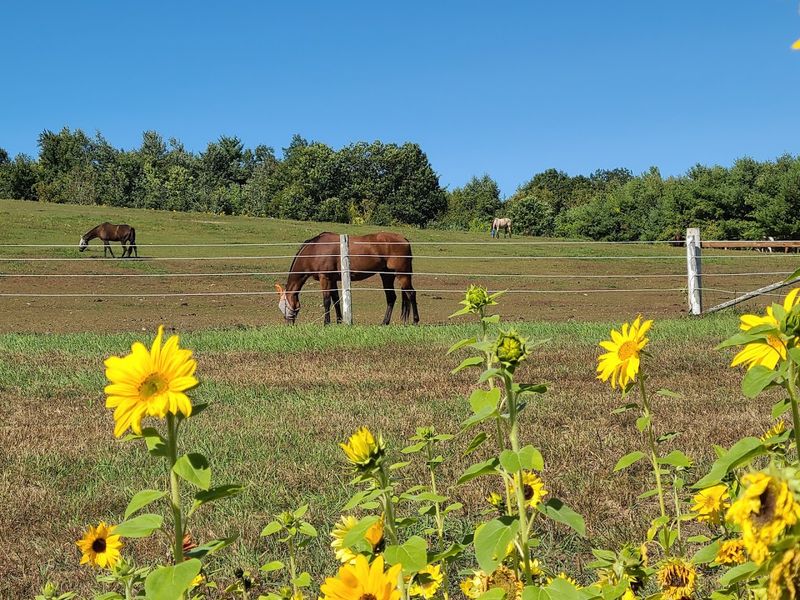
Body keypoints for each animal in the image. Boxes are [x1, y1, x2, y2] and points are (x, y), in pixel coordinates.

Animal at [275, 232, 419, 325]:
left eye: (285, 306)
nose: (289, 324)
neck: (315, 250)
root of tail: (404, 239)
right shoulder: (333, 279)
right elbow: (336, 300)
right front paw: (339, 321)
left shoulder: (325, 278)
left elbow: (326, 301)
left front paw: (326, 323)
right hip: (386, 276)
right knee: (391, 297)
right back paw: (384, 323)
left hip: (402, 275)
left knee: (411, 294)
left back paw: (415, 321)